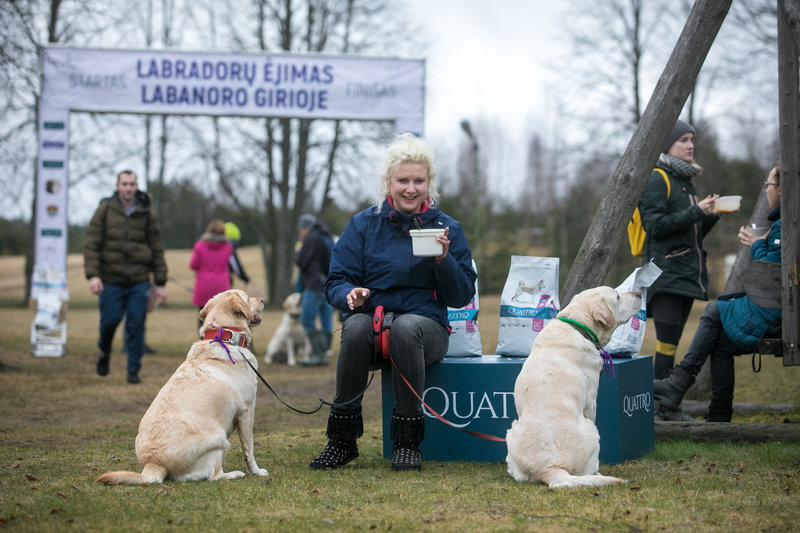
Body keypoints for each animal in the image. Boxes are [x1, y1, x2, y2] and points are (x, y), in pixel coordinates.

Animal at [95, 288, 270, 484]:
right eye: (247, 298)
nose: (262, 299)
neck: (225, 336)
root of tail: (154, 464)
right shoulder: (246, 411)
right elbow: (249, 450)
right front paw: (256, 471)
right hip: (219, 440)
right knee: (214, 476)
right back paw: (234, 474)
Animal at [506, 284, 644, 488]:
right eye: (618, 296)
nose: (639, 292)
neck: (577, 326)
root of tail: (550, 469)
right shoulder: (591, 402)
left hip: (511, 431)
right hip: (592, 431)